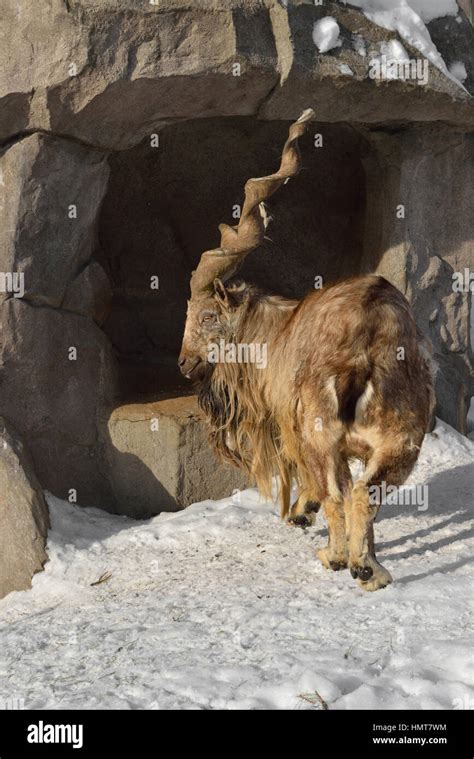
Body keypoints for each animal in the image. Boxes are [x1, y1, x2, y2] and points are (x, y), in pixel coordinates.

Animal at [179, 110, 436, 592]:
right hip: (401, 438)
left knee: (340, 495)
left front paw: (301, 513)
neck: (275, 332)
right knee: (364, 494)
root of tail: (364, 345)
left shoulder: (292, 425)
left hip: (322, 434)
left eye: (206, 315)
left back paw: (336, 557)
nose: (184, 362)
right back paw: (370, 570)